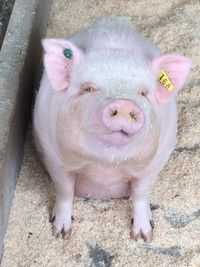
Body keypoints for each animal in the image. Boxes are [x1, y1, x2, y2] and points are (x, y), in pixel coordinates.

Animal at [33, 16, 191, 243]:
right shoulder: (54, 157)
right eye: (87, 88)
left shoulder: (155, 163)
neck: (105, 169)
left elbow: (141, 193)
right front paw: (61, 234)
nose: (124, 104)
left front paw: (144, 237)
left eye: (144, 93)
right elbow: (64, 191)